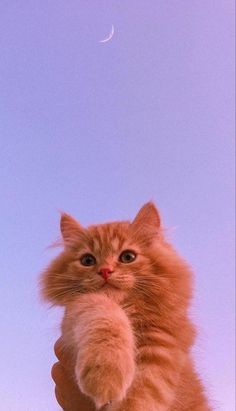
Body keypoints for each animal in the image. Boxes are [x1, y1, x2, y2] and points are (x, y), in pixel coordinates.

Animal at [40, 203, 210, 411]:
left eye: (128, 257)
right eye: (87, 260)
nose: (105, 271)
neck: (125, 307)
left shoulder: (163, 342)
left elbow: (142, 394)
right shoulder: (78, 309)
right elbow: (104, 315)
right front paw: (105, 372)